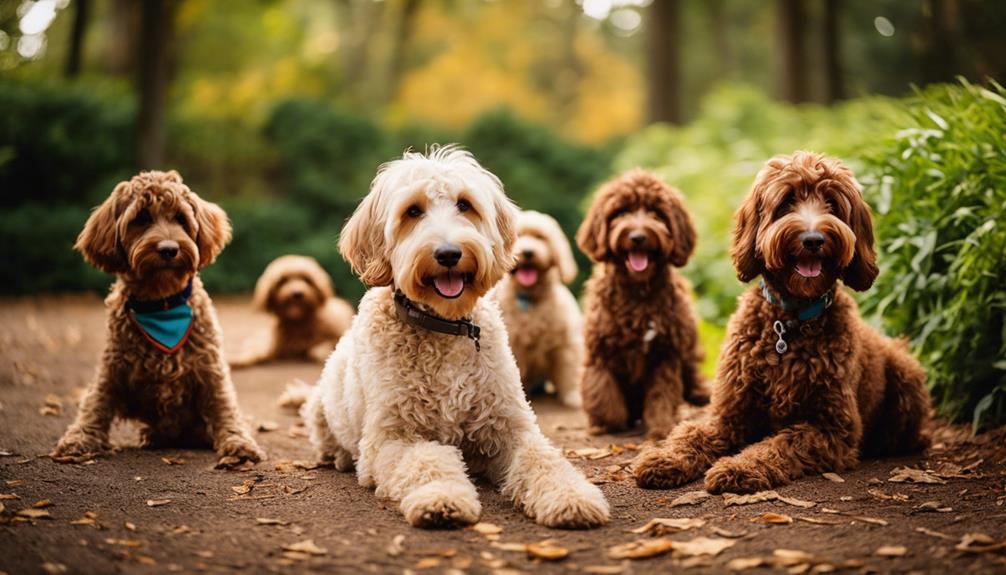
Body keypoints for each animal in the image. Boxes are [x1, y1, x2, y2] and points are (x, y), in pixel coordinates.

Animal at [52, 170, 263, 466]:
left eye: (181, 218)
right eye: (141, 219)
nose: (168, 249)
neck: (162, 305)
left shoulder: (210, 370)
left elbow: (224, 407)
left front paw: (238, 442)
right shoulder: (113, 366)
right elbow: (96, 402)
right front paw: (79, 438)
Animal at [490, 209, 587, 406]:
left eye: (540, 237)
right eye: (519, 236)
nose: (527, 252)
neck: (530, 298)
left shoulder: (566, 344)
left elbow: (569, 370)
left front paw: (572, 396)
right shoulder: (515, 345)